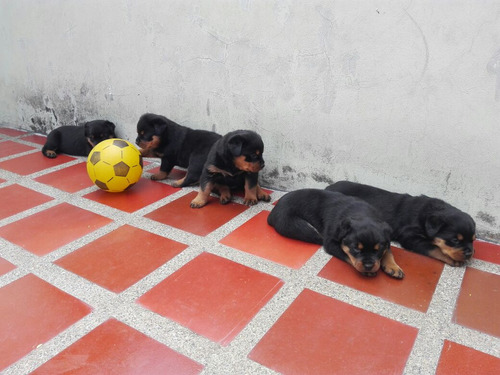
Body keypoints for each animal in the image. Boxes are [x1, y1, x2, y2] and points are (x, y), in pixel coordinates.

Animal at [268, 189, 404, 278]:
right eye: (356, 249)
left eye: (378, 249)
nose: (369, 265)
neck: (362, 214)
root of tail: (272, 212)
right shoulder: (330, 242)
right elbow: (347, 255)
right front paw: (368, 271)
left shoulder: (386, 238)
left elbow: (388, 252)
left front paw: (394, 267)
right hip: (298, 226)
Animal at [328, 182, 476, 268]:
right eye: (455, 240)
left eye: (473, 240)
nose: (470, 253)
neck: (426, 215)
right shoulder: (410, 236)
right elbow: (434, 248)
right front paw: (453, 259)